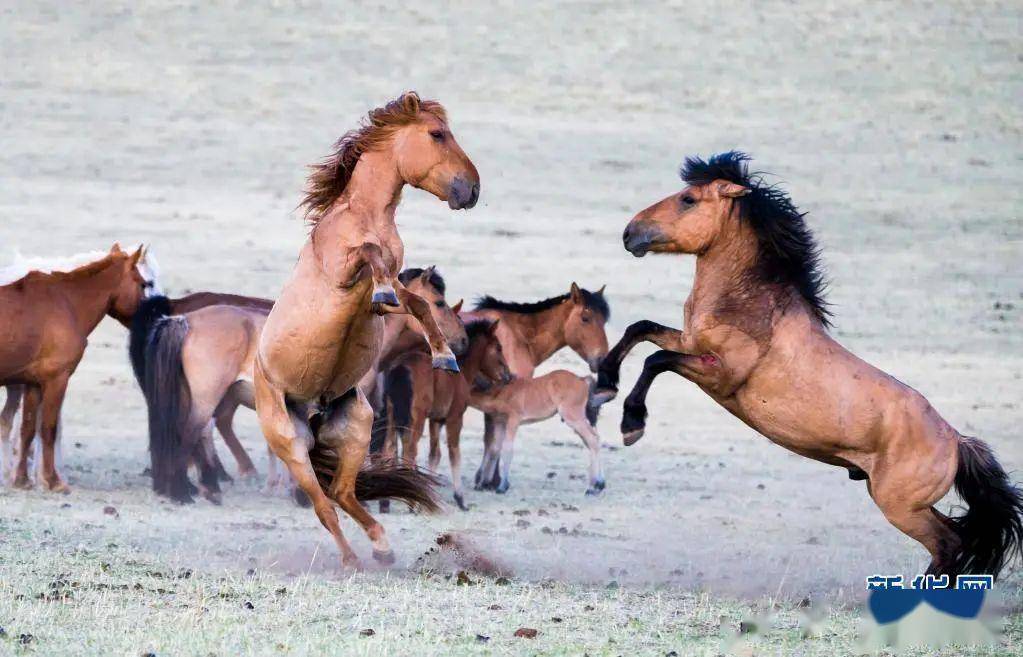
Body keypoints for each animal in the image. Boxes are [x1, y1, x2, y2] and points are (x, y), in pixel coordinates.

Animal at [0, 245, 153, 491]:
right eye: (143, 284)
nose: (154, 320)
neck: (67, 303)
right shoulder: (57, 380)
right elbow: (49, 429)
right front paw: (53, 481)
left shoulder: (33, 383)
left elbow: (28, 429)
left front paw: (22, 479)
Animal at [253, 92, 480, 568]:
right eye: (437, 134)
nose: (472, 189)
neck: (364, 215)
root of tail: (313, 412)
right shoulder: (344, 272)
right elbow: (371, 254)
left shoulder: (390, 287)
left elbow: (411, 301)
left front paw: (444, 355)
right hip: (291, 446)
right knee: (324, 506)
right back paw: (352, 560)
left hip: (358, 426)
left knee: (342, 492)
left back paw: (382, 546)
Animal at [384, 317, 515, 507]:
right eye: (498, 347)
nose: (508, 376)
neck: (460, 371)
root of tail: (400, 367)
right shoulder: (455, 417)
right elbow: (454, 454)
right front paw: (459, 498)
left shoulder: (436, 419)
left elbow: (434, 455)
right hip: (416, 418)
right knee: (410, 450)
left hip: (392, 415)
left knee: (389, 448)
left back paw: (386, 501)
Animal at [597, 151, 1023, 577]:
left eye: (688, 199)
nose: (629, 234)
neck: (752, 305)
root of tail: (956, 440)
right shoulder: (690, 343)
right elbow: (640, 330)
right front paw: (604, 383)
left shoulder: (719, 374)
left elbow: (656, 359)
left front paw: (631, 423)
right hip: (900, 500)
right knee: (956, 539)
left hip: (901, 507)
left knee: (948, 544)